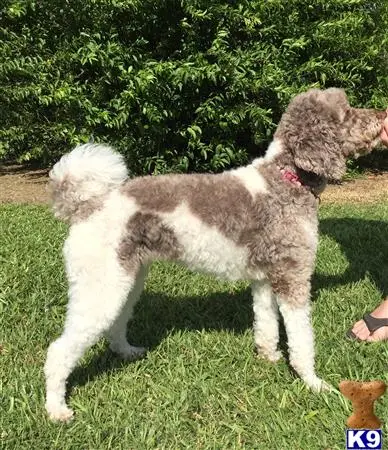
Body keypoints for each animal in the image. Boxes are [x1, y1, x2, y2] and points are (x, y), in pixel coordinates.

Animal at [44, 89, 384, 422]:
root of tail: (84, 206)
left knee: (115, 324)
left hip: (126, 280)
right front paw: (314, 383)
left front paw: (269, 356)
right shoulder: (293, 277)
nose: (381, 117)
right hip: (100, 285)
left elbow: (266, 323)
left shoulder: (265, 279)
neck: (284, 180)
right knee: (58, 351)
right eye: (346, 112)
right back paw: (56, 409)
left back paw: (126, 351)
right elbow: (301, 340)